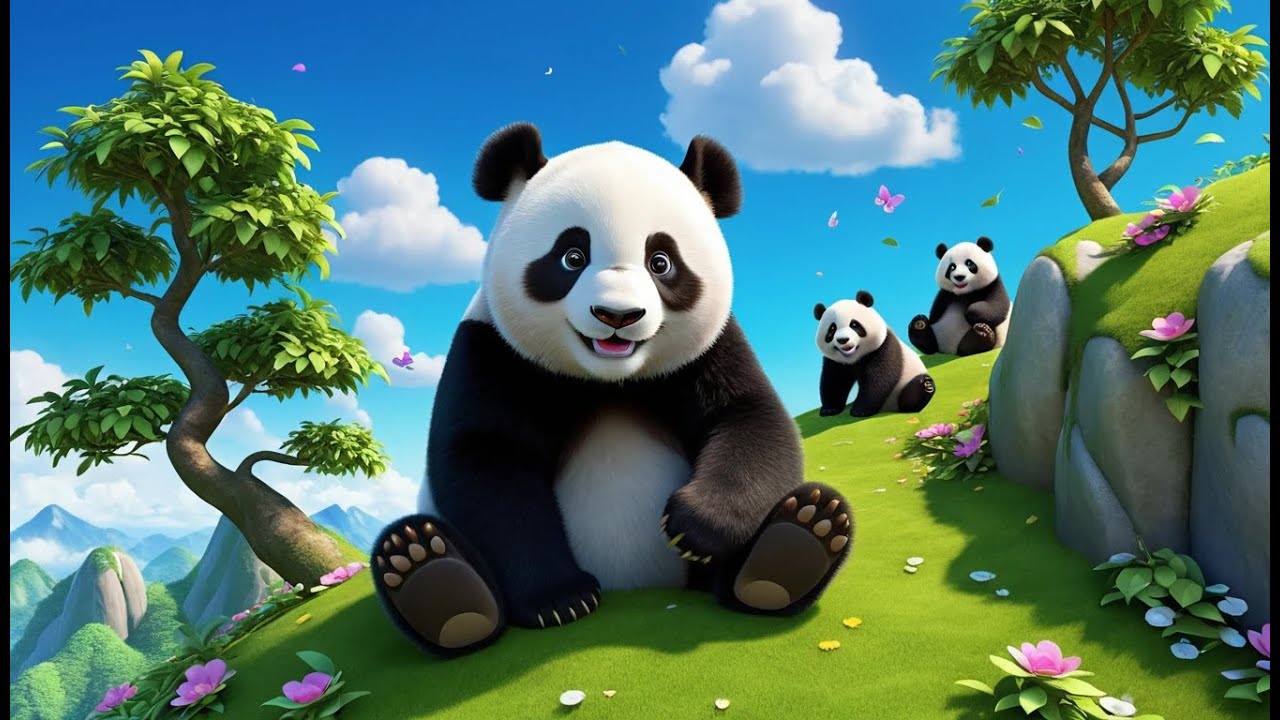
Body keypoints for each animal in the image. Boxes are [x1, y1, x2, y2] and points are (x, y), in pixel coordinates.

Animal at [371, 123, 854, 658]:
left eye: (661, 261)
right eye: (572, 256)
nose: (617, 316)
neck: (607, 379)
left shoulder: (710, 349)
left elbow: (750, 420)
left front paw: (694, 526)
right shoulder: (491, 350)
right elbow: (488, 459)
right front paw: (560, 599)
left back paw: (794, 545)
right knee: (433, 550)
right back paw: (434, 580)